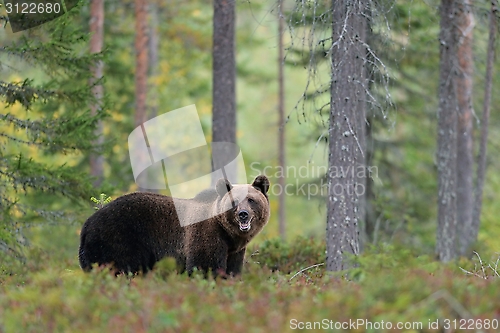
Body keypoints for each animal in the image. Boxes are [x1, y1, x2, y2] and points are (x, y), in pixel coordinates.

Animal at [77, 175, 270, 276]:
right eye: (234, 201)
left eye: (251, 200)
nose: (243, 214)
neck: (229, 235)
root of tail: (87, 224)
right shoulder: (205, 235)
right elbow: (205, 266)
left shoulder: (234, 250)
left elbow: (232, 271)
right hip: (118, 239)